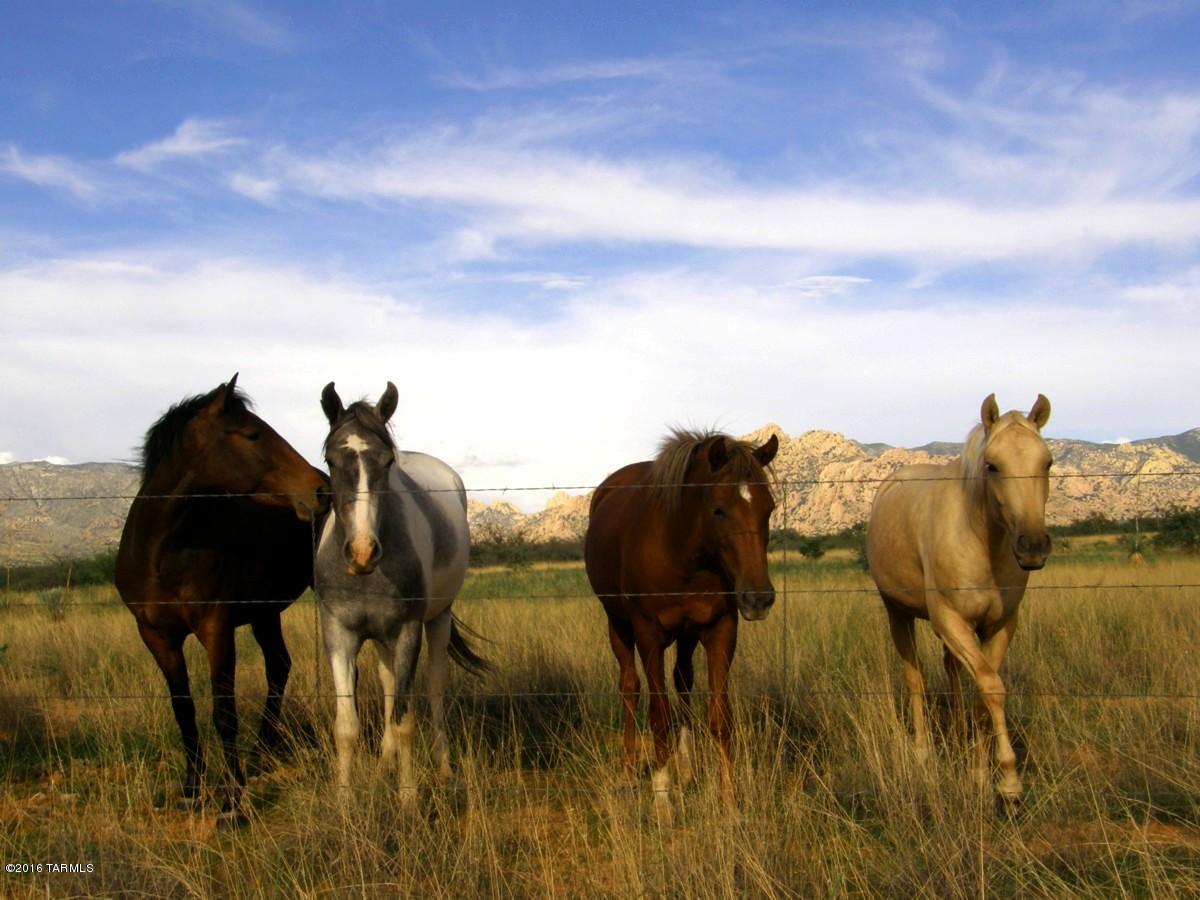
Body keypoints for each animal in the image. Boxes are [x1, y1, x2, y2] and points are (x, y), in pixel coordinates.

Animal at [115, 375, 327, 827]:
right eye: (253, 434)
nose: (318, 491)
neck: (163, 549)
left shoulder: (216, 629)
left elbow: (223, 714)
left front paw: (232, 804)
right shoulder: (156, 636)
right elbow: (184, 711)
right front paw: (191, 791)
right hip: (265, 613)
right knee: (278, 666)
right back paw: (260, 755)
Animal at [314, 381, 486, 801]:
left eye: (387, 462)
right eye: (330, 460)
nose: (362, 551)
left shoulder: (408, 630)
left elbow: (405, 721)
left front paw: (408, 801)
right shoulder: (339, 634)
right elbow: (347, 726)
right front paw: (344, 803)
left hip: (437, 620)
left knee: (435, 688)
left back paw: (443, 769)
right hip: (379, 637)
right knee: (390, 682)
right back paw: (382, 765)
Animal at [584, 428, 779, 821]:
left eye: (768, 508)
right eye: (718, 509)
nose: (758, 598)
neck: (682, 552)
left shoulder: (721, 629)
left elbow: (719, 718)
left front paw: (729, 799)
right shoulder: (649, 634)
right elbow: (659, 716)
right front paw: (662, 799)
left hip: (688, 635)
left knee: (683, 682)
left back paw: (687, 768)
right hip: (618, 625)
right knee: (630, 687)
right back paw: (629, 773)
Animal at [865, 393, 1052, 804]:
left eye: (1047, 462)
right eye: (992, 465)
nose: (1032, 546)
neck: (983, 542)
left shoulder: (1000, 625)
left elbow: (984, 693)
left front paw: (980, 773)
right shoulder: (950, 620)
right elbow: (991, 687)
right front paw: (1009, 781)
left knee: (951, 670)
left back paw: (956, 735)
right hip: (898, 614)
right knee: (916, 679)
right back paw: (923, 752)